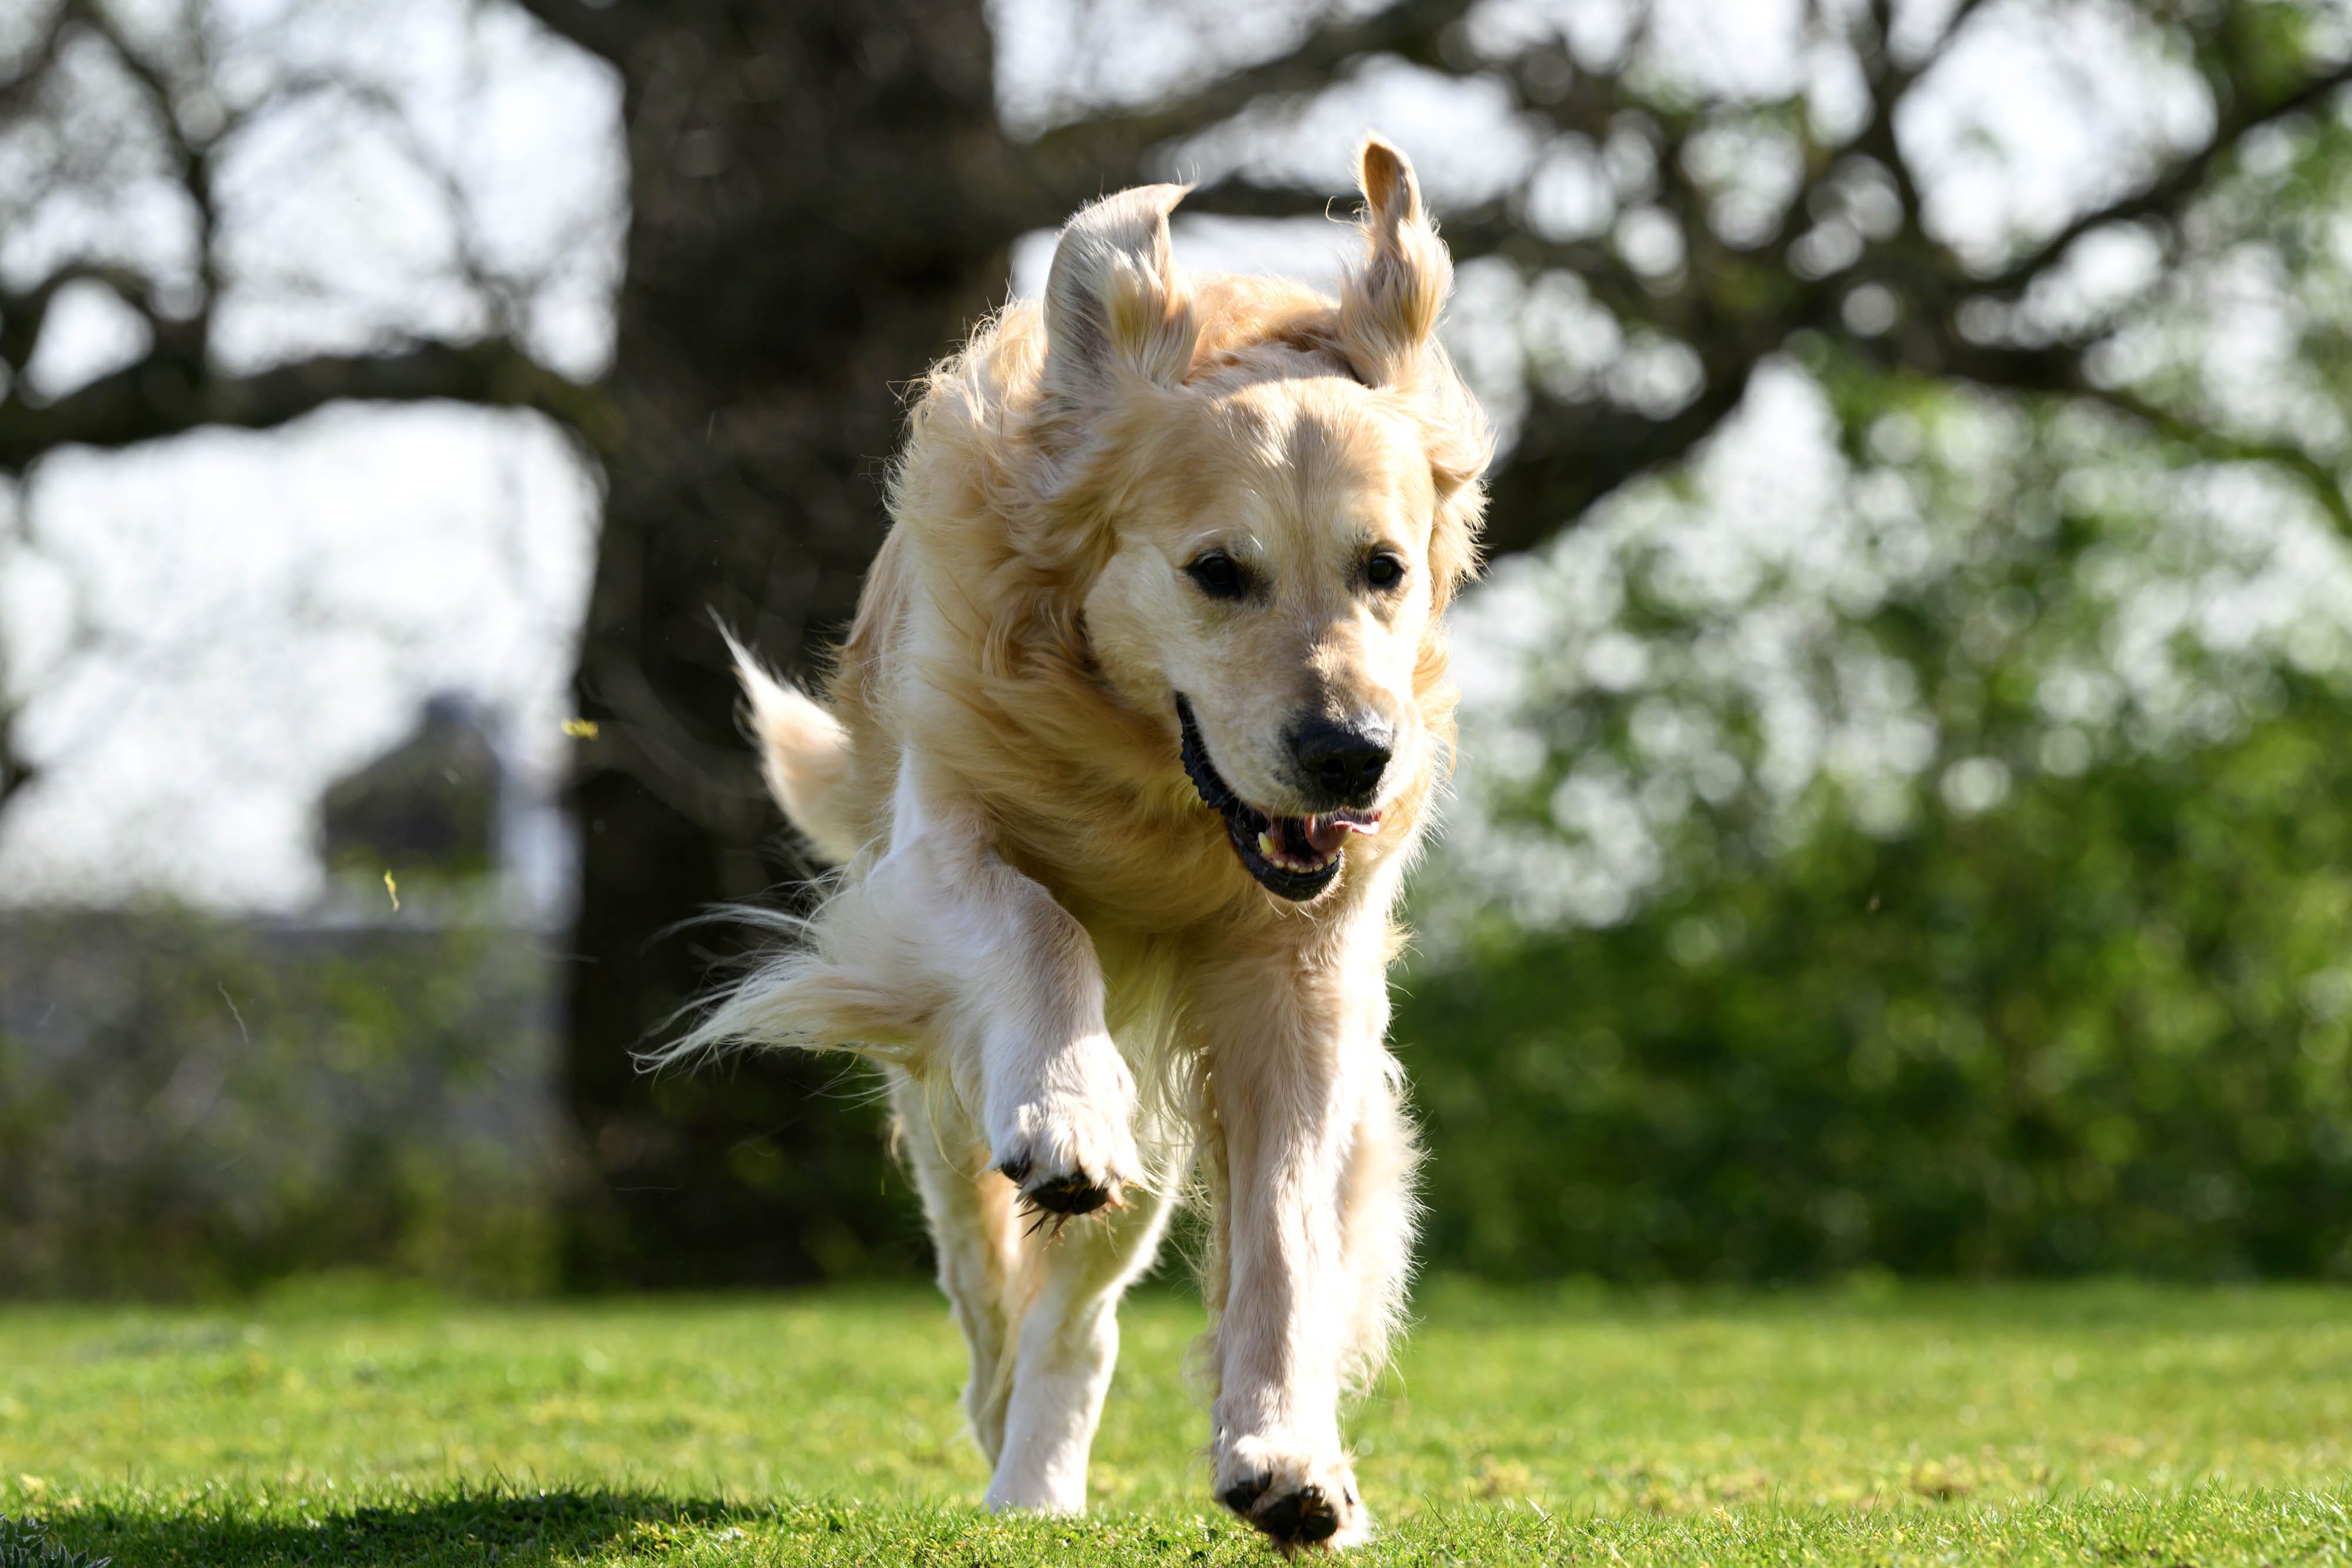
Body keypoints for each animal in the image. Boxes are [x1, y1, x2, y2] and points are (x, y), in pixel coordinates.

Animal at [682, 138, 1486, 1542]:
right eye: (1217, 570)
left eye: (1383, 567)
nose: (1351, 756)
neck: (1152, 789)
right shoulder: (933, 859)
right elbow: (1037, 924)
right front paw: (1062, 1108)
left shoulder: (1298, 979)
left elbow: (1286, 1224)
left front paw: (1286, 1451)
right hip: (942, 1098)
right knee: (985, 1278)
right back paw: (1011, 1428)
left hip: (1156, 1132)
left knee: (1082, 1312)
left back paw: (1044, 1468)